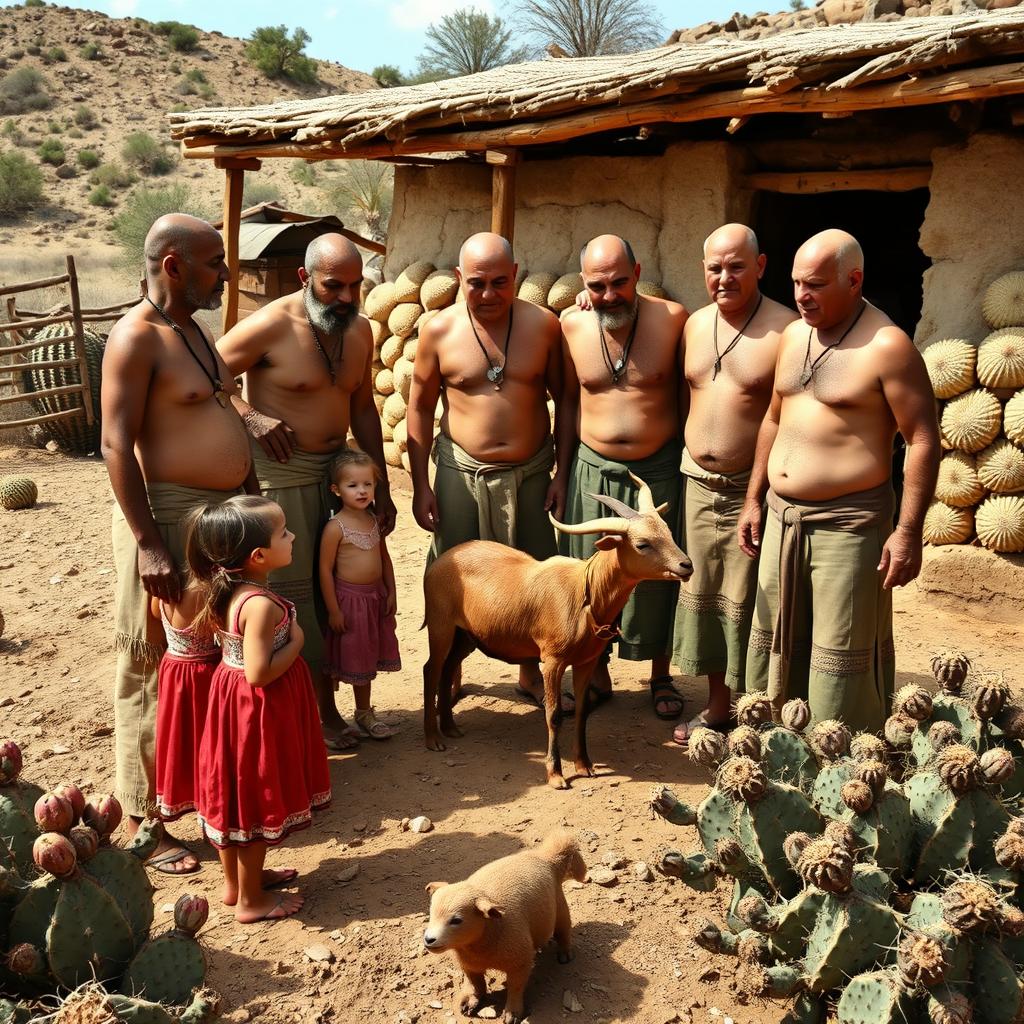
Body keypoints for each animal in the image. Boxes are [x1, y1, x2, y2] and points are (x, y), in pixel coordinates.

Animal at [419, 475, 692, 786]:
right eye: (643, 544)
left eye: (668, 532)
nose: (686, 565)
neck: (586, 594)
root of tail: (442, 560)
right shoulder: (552, 661)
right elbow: (553, 714)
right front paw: (556, 773)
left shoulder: (586, 662)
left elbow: (583, 713)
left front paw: (584, 765)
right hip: (441, 626)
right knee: (431, 669)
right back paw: (433, 738)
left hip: (466, 636)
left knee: (447, 668)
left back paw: (450, 727)